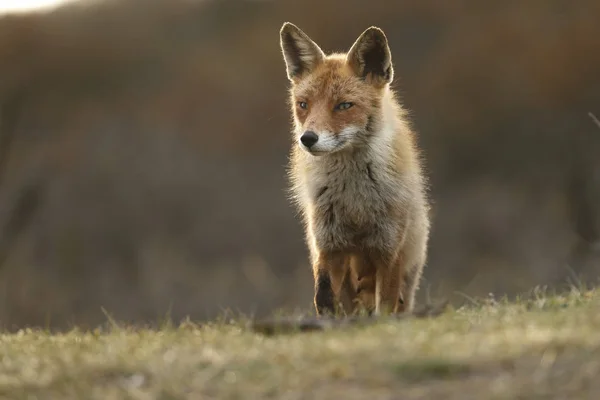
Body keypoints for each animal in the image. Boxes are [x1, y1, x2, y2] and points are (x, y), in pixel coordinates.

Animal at [278, 22, 428, 316]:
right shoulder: (329, 245)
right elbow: (323, 296)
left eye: (344, 105)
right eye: (303, 105)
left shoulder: (388, 249)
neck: (354, 201)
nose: (308, 138)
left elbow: (385, 305)